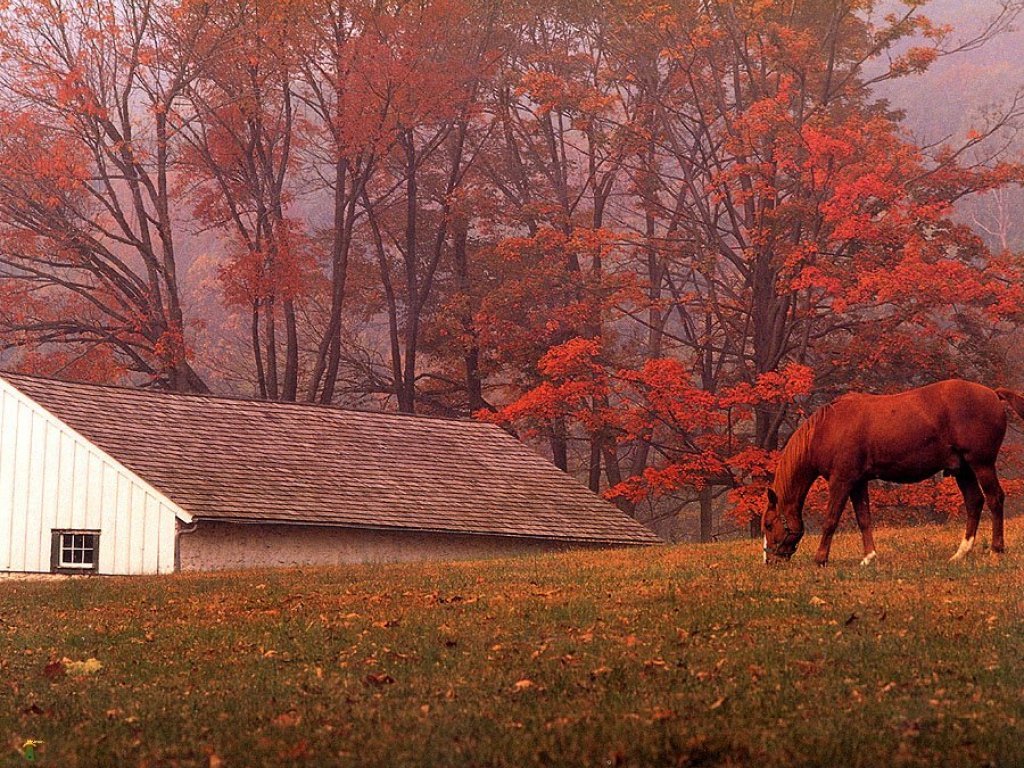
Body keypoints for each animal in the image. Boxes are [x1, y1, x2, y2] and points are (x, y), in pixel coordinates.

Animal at [761, 382, 1024, 569]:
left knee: (994, 499)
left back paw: (995, 551)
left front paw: (820, 559)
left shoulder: (842, 481)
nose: (769, 561)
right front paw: (869, 557)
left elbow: (830, 520)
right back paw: (960, 554)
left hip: (982, 464)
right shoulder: (857, 482)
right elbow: (864, 519)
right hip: (963, 469)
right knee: (974, 502)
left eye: (768, 524)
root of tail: (993, 393)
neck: (828, 428)